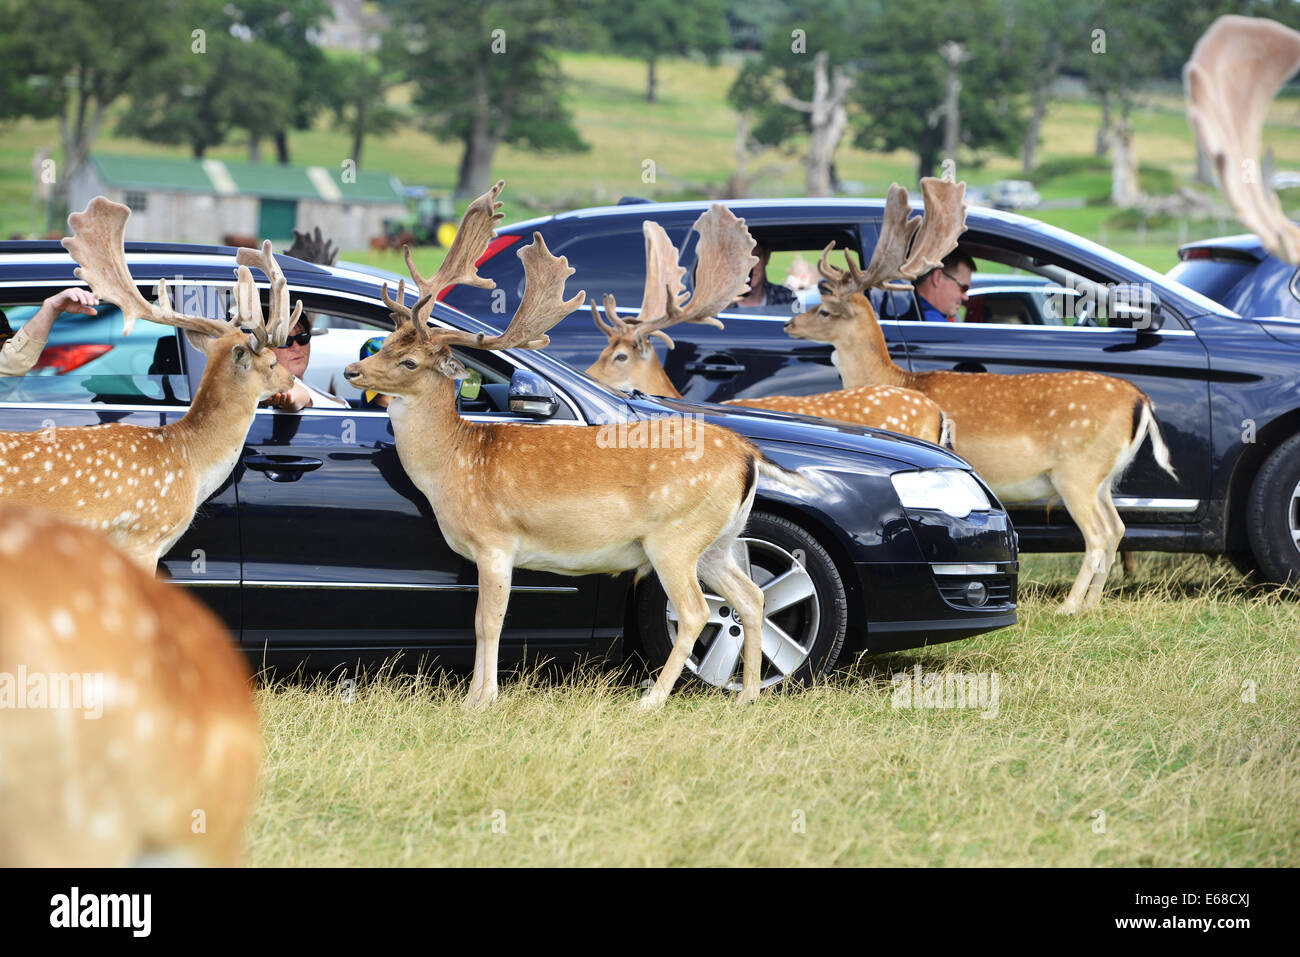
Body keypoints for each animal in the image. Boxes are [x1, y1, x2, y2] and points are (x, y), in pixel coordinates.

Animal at [344, 180, 799, 710]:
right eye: (388, 342)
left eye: (411, 362)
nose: (353, 370)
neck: (457, 462)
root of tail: (748, 455)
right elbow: (483, 621)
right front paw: (475, 696)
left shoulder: (496, 539)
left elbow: (487, 620)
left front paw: (482, 699)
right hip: (718, 541)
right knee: (751, 598)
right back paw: (747, 697)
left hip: (675, 536)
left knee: (695, 611)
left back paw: (652, 699)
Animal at [785, 177, 1177, 614]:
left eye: (823, 310)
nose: (789, 324)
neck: (896, 378)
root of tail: (1140, 400)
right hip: (1104, 476)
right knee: (1117, 528)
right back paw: (1091, 604)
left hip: (1076, 469)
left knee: (1096, 534)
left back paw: (1069, 606)